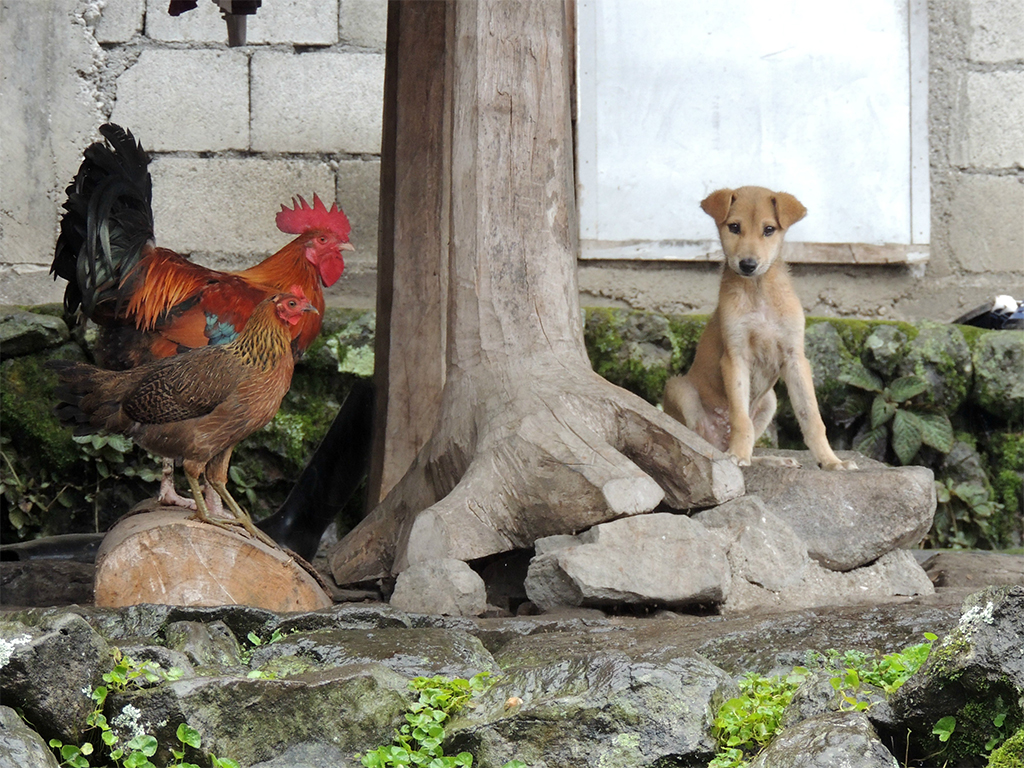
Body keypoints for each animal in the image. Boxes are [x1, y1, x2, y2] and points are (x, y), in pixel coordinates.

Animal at [663, 189, 856, 473]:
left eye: (769, 229)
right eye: (734, 227)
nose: (748, 264)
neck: (758, 291)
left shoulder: (795, 358)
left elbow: (811, 417)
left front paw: (831, 461)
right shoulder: (735, 357)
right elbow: (740, 418)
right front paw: (737, 455)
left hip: (770, 401)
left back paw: (772, 459)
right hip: (679, 388)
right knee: (696, 444)